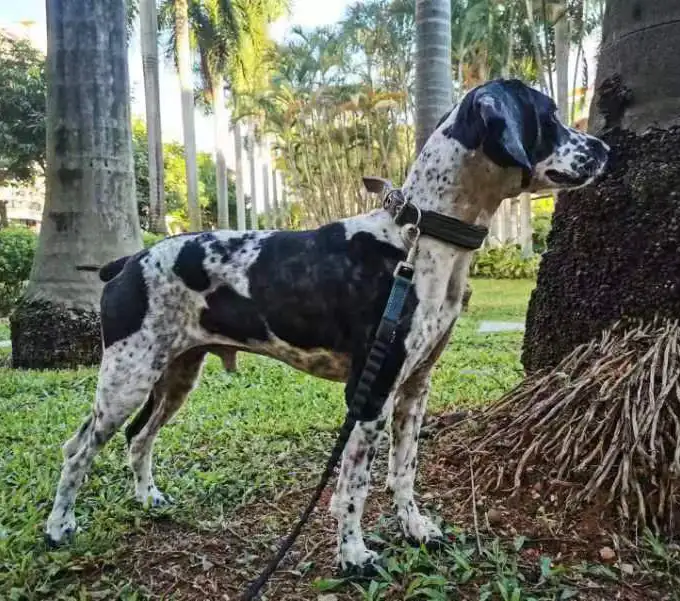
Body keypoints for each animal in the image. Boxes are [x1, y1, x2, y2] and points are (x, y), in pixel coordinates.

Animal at [46, 79, 612, 572]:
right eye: (550, 116)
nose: (604, 147)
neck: (419, 237)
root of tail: (127, 261)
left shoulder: (415, 388)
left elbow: (403, 471)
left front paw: (414, 528)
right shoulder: (370, 392)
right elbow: (353, 487)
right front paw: (353, 555)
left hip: (176, 374)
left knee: (139, 438)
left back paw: (147, 498)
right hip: (126, 378)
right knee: (77, 449)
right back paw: (58, 527)